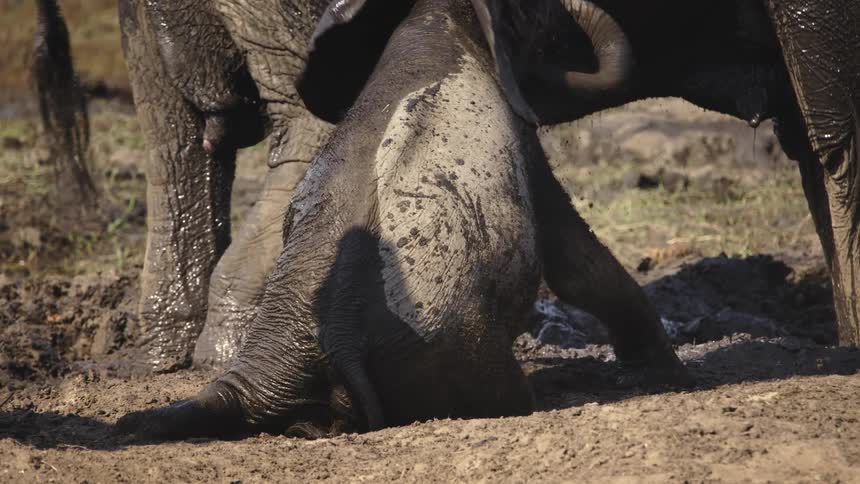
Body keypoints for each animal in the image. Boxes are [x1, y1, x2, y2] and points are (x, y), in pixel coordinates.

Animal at [117, 0, 683, 440]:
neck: (440, 13)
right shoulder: (522, 138)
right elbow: (572, 258)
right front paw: (669, 372)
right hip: (456, 350)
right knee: (508, 396)